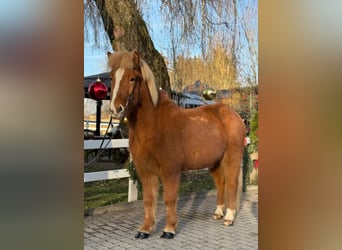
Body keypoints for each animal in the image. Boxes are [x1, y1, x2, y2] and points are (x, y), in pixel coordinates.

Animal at [108, 50, 244, 238]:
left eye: (132, 78)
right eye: (111, 77)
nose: (116, 109)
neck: (154, 125)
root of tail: (234, 114)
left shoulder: (170, 170)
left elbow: (169, 199)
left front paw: (169, 229)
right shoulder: (145, 171)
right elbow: (149, 200)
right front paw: (145, 230)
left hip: (231, 158)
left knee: (231, 183)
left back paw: (229, 218)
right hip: (215, 163)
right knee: (220, 183)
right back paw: (218, 213)